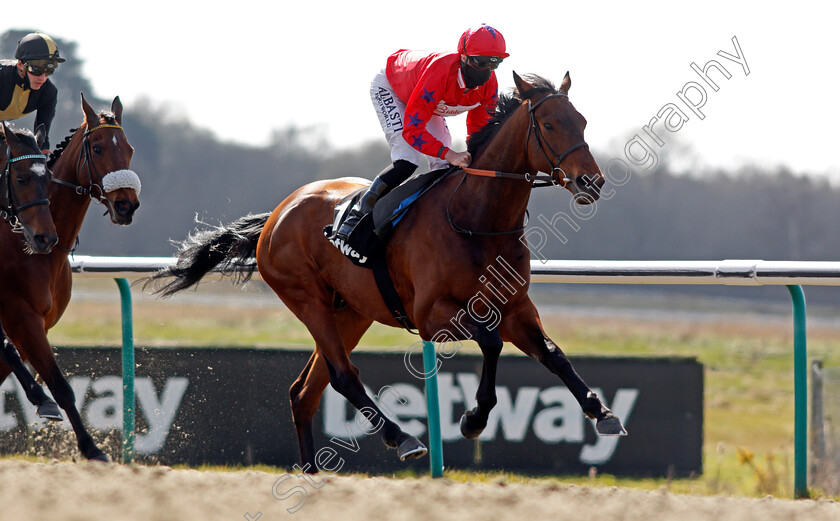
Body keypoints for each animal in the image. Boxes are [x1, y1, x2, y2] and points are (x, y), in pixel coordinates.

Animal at [0, 93, 139, 460]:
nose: (127, 205)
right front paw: (90, 446)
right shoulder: (18, 315)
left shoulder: (37, 323)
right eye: (99, 149)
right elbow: (59, 386)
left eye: (130, 149)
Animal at [149, 74, 624, 472]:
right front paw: (472, 418)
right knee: (343, 376)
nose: (592, 182)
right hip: (307, 299)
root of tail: (278, 214)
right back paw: (402, 437)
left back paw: (312, 471)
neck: (476, 218)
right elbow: (490, 342)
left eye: (582, 121)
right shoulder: (433, 316)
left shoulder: (516, 308)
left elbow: (553, 354)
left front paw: (601, 411)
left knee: (304, 392)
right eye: (550, 125)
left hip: (351, 312)